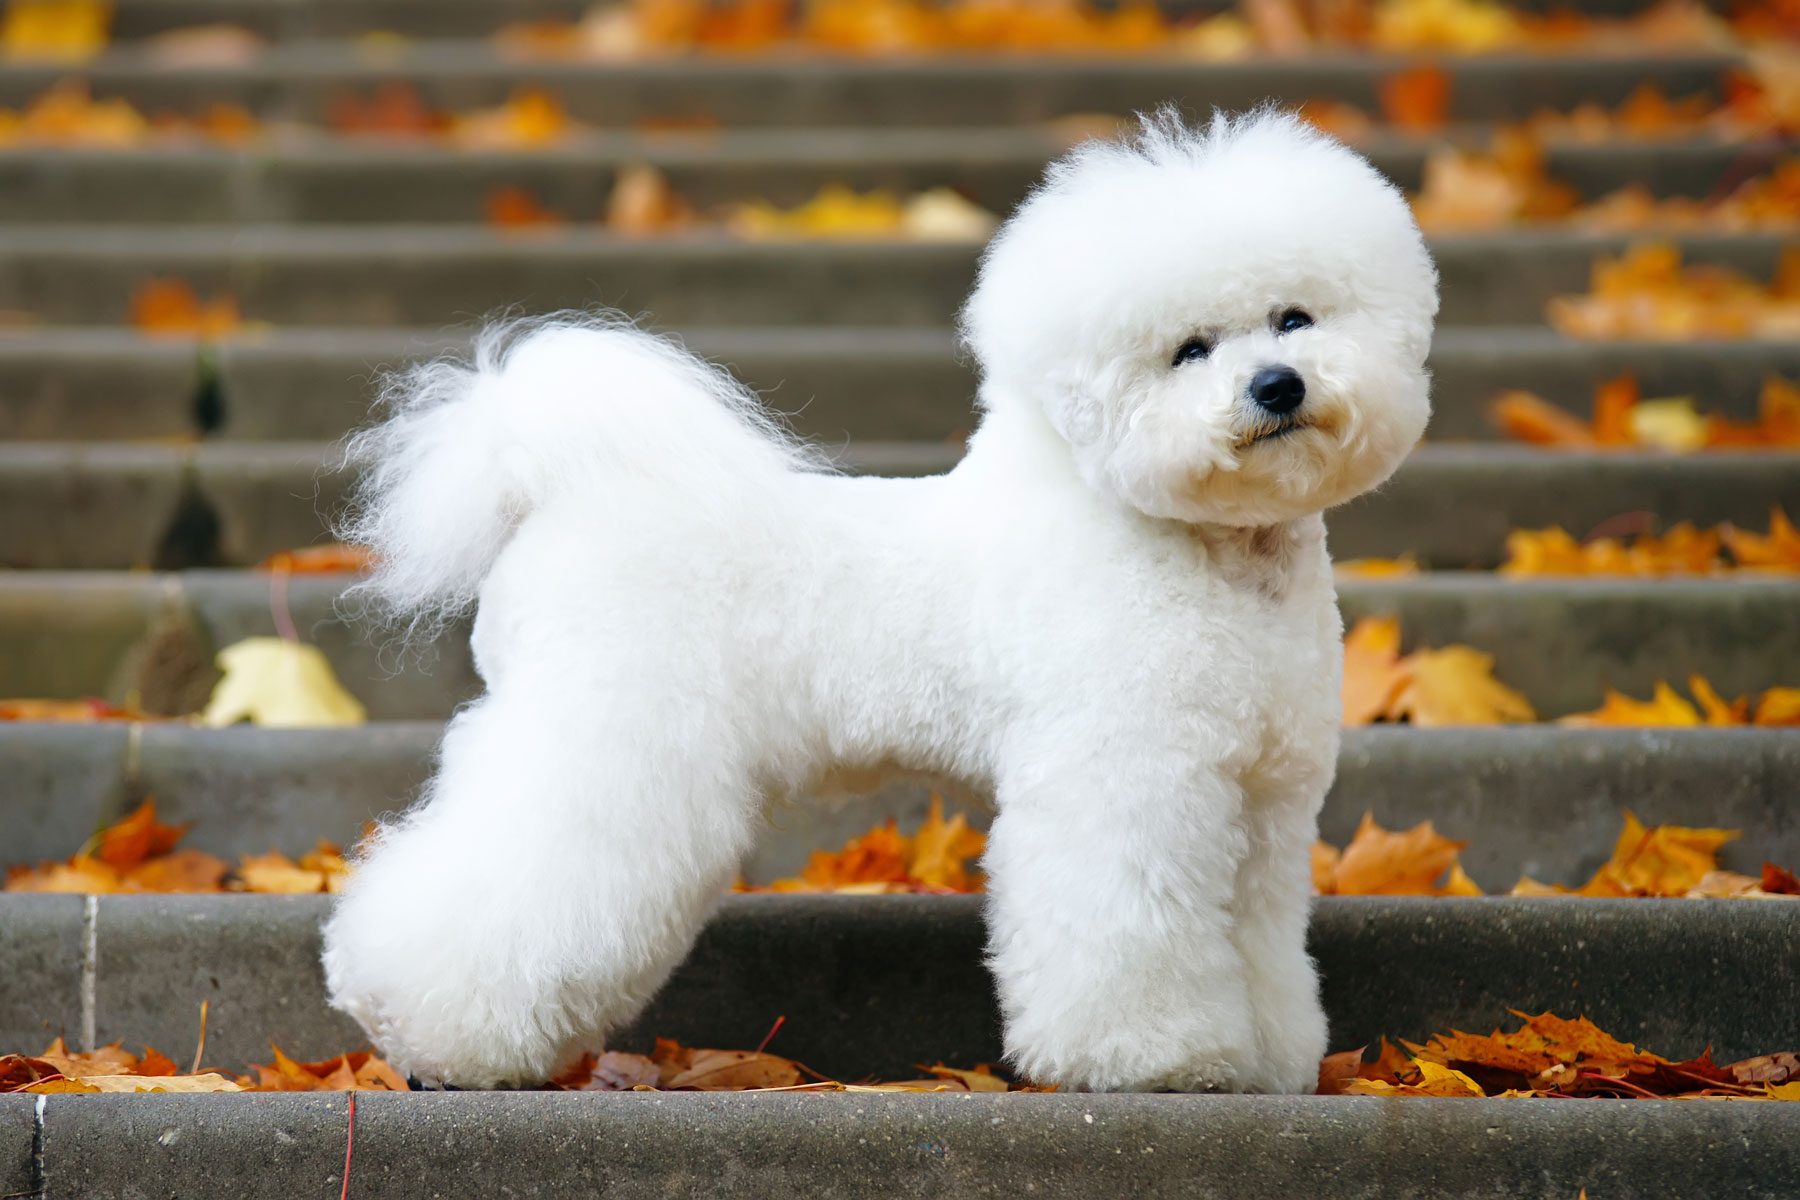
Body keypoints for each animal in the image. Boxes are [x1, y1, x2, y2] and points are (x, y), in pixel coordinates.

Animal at [320, 107, 1432, 1093]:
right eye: (1189, 349)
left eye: (1295, 318)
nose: (1279, 386)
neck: (1208, 554)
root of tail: (550, 493)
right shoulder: (1127, 783)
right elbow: (1124, 928)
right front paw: (1156, 1059)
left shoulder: (1264, 800)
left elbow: (1261, 938)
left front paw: (1271, 1058)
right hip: (613, 742)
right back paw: (433, 1034)